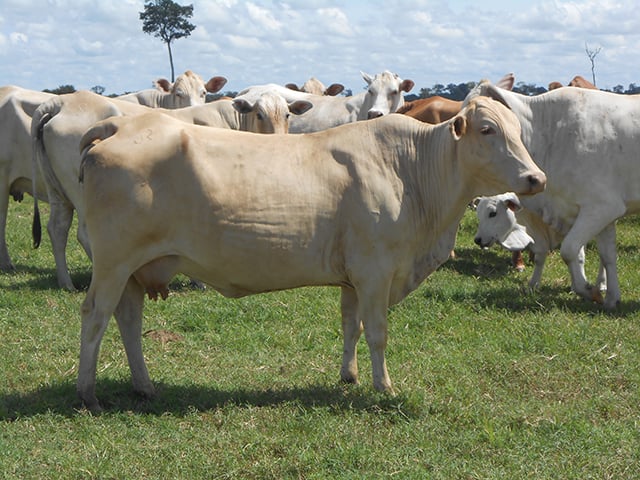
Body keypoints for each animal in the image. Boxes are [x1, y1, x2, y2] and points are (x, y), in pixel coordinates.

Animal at [31, 92, 312, 290]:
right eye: (260, 114)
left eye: (288, 115)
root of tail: (59, 102)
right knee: (85, 235)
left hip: (58, 193)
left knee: (57, 229)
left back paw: (66, 282)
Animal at [472, 192, 604, 290]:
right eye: (478, 214)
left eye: (493, 213)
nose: (477, 240)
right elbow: (539, 259)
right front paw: (533, 284)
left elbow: (578, 257)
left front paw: (575, 285)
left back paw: (602, 284)